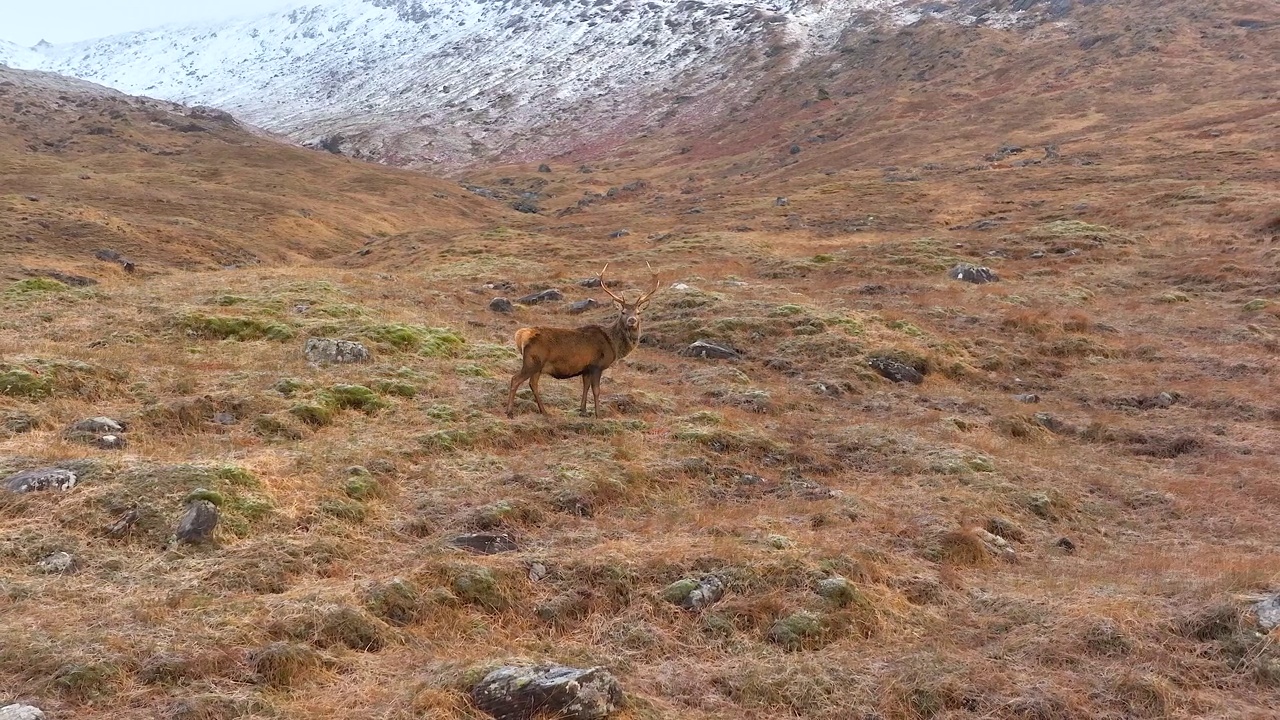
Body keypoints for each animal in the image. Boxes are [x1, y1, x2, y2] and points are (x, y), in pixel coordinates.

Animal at [504, 265, 660, 417]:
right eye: (623, 312)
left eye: (638, 313)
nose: (631, 320)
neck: (613, 344)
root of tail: (521, 335)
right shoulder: (597, 365)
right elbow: (596, 390)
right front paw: (598, 414)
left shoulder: (586, 368)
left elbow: (585, 387)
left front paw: (583, 411)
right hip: (533, 361)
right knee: (515, 379)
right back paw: (510, 411)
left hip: (538, 365)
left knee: (533, 383)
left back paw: (544, 411)